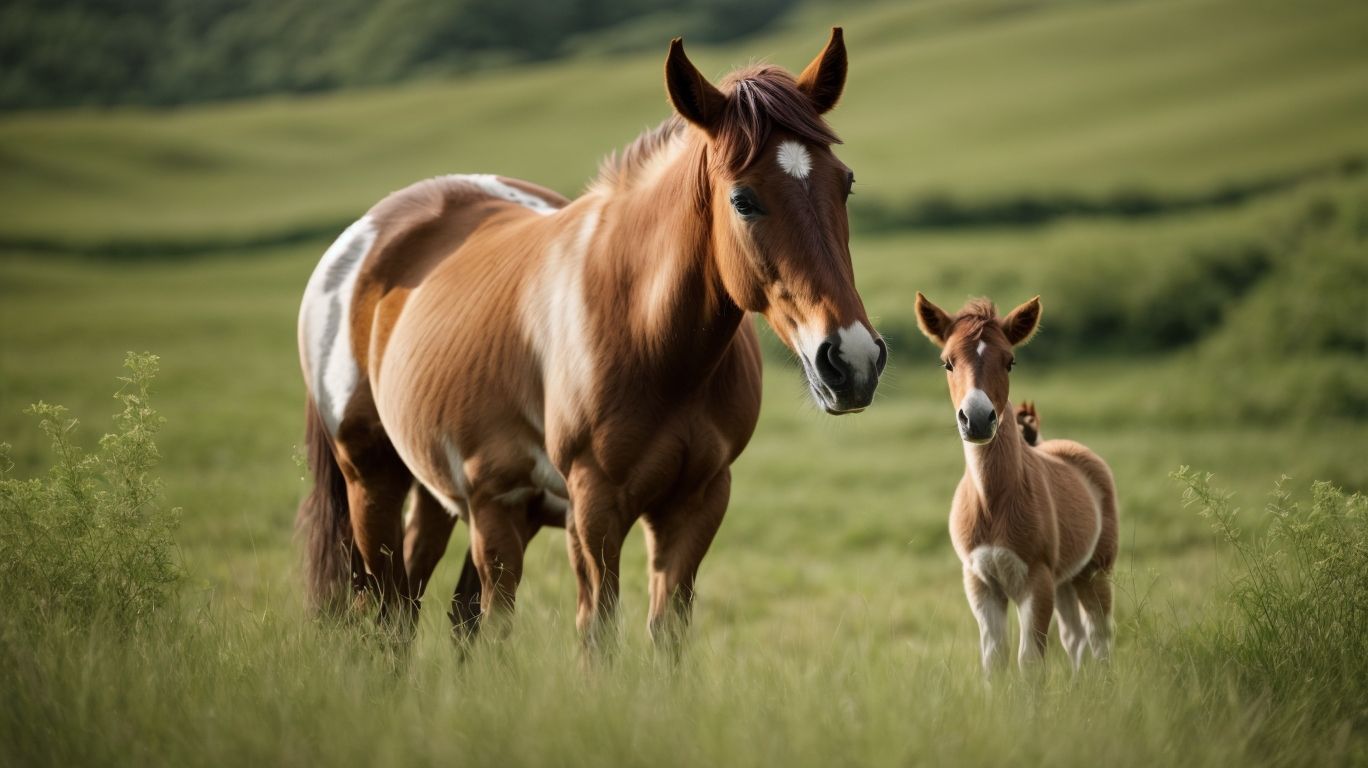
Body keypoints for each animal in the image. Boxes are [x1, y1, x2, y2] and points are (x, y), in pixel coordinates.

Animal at [296, 28, 886, 651]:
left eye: (845, 184)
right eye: (743, 199)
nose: (852, 358)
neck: (651, 341)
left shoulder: (697, 501)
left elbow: (667, 634)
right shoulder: (594, 508)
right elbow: (597, 633)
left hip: (459, 498)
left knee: (447, 614)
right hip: (376, 481)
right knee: (391, 616)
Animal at [913, 294, 1117, 675]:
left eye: (1010, 361)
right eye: (947, 363)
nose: (978, 419)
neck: (993, 501)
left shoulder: (1036, 582)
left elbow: (1030, 662)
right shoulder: (980, 583)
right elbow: (994, 659)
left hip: (1094, 571)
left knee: (1099, 637)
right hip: (1066, 578)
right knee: (1075, 638)